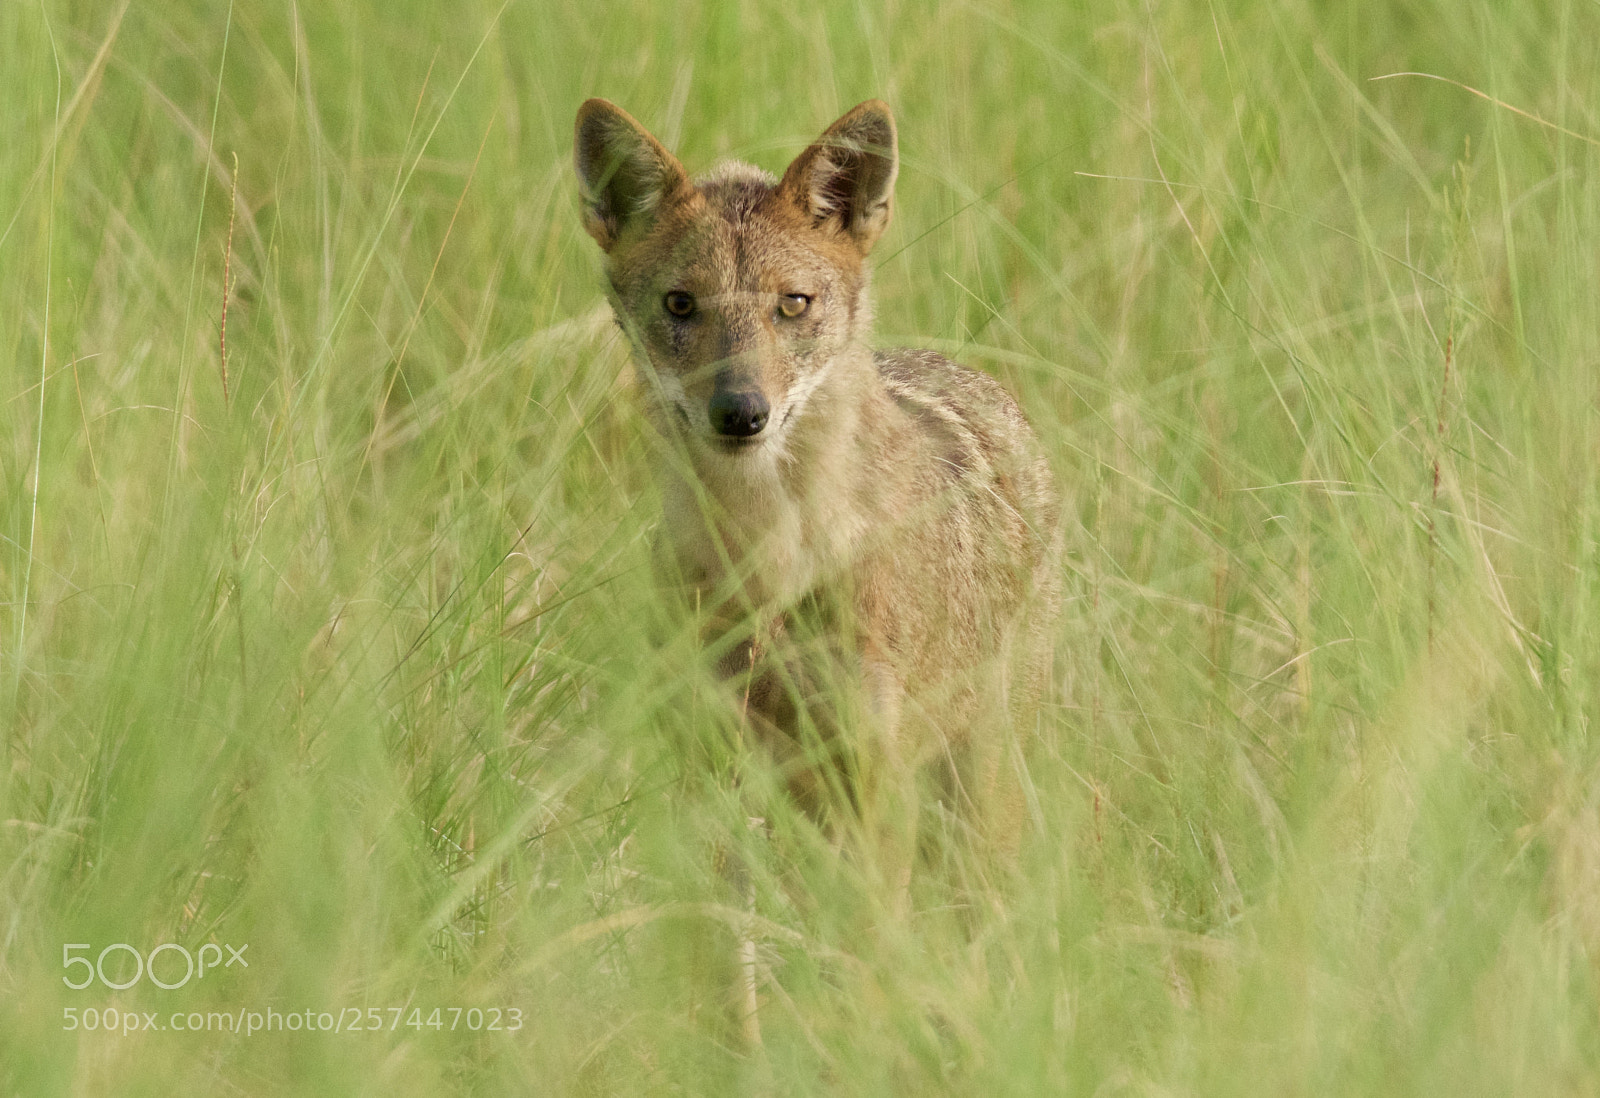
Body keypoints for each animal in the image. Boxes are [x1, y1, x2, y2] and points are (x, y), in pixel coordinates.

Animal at [573, 98, 1060, 888]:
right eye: (681, 305)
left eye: (792, 305)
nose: (741, 412)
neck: (767, 562)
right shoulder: (705, 772)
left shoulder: (874, 782)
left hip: (977, 793)